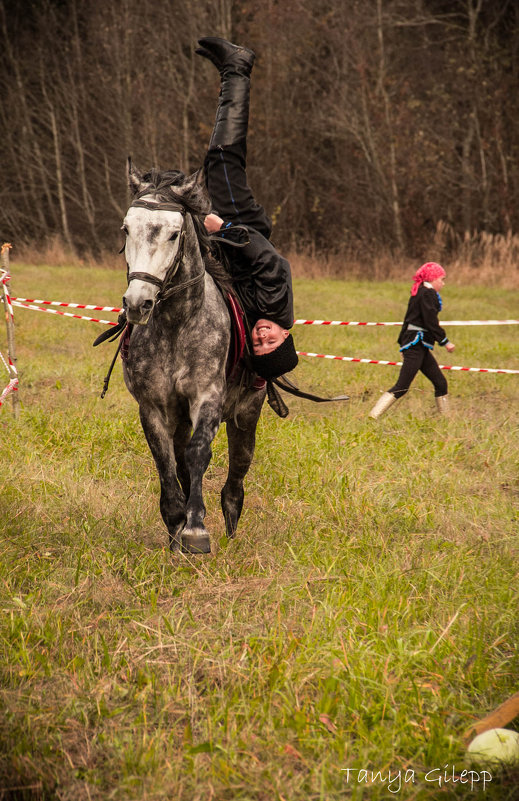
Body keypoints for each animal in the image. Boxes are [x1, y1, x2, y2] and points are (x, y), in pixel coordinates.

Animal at [120, 159, 266, 552]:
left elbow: (199, 453)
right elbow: (167, 464)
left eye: (174, 234)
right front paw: (176, 525)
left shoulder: (207, 398)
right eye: (126, 229)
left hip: (247, 414)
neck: (176, 324)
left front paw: (196, 530)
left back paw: (229, 524)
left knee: (235, 474)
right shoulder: (153, 408)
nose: (138, 303)